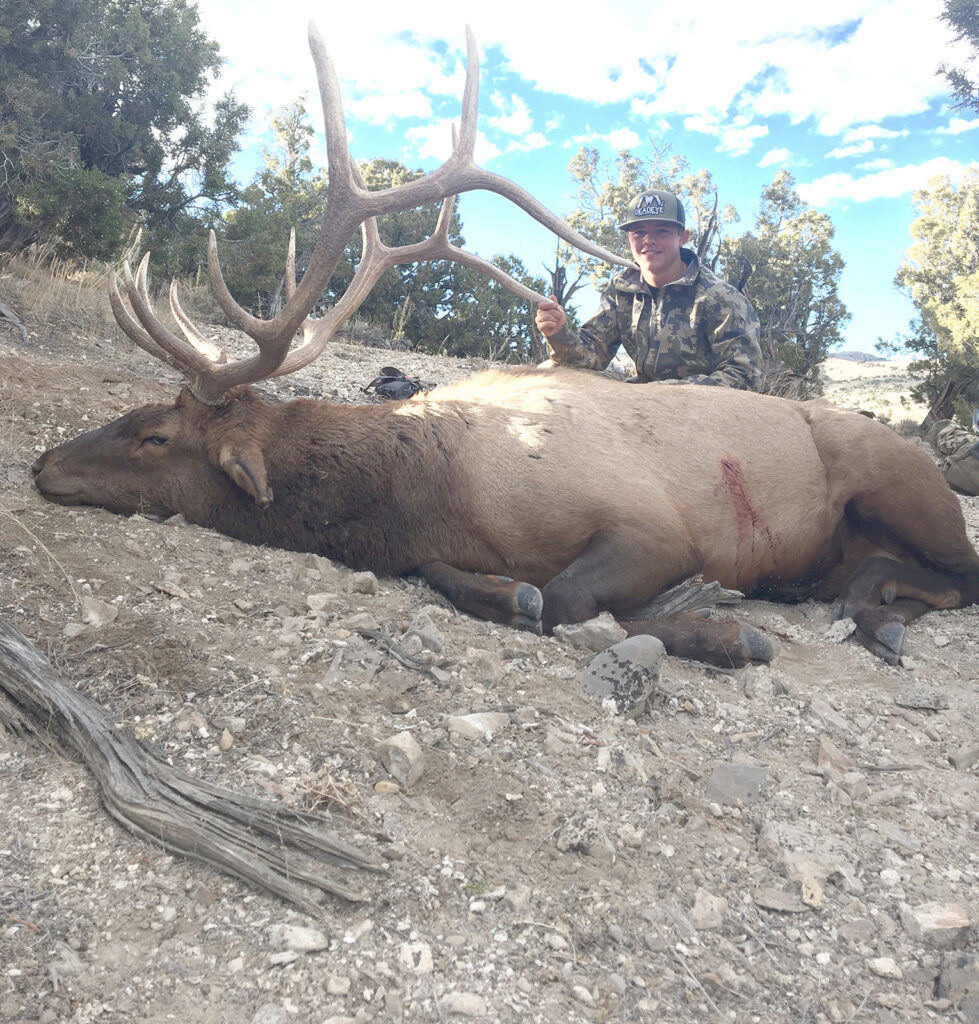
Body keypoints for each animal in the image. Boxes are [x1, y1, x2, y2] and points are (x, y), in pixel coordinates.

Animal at [32, 25, 979, 669]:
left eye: (155, 435)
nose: (42, 462)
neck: (431, 492)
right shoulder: (443, 548)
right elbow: (489, 587)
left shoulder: (653, 526)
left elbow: (564, 599)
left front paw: (723, 629)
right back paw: (866, 600)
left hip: (901, 483)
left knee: (960, 572)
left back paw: (871, 604)